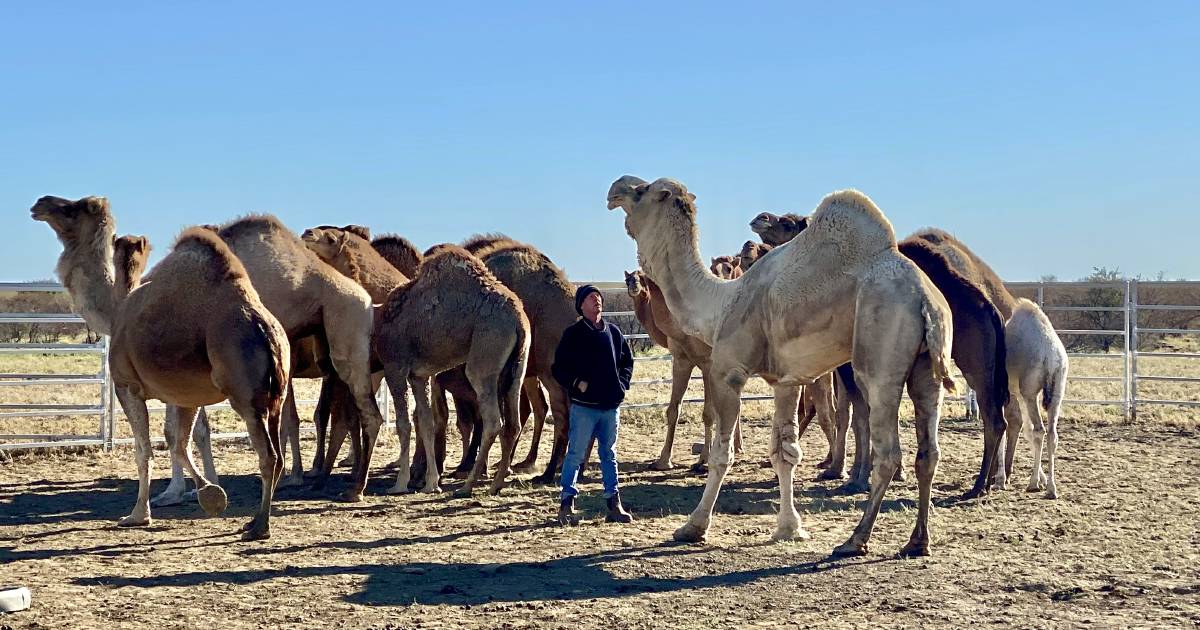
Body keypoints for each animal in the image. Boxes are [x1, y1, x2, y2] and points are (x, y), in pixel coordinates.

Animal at [372, 246, 528, 496]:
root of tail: (519, 320)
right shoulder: (419, 376)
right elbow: (426, 421)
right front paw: (431, 483)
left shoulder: (395, 366)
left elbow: (403, 424)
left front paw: (400, 483)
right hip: (516, 370)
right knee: (513, 424)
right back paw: (495, 484)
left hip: (484, 359)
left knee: (493, 421)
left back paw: (467, 485)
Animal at [609, 176, 955, 554]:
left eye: (642, 191)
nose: (614, 190)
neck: (721, 302)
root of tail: (925, 299)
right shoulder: (786, 381)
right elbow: (784, 453)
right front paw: (790, 528)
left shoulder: (728, 372)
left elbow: (722, 453)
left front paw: (693, 527)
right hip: (927, 370)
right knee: (929, 451)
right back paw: (917, 542)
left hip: (880, 362)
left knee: (888, 452)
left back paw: (855, 539)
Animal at [993, 297, 1070, 499]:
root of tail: (1051, 355)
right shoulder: (1017, 393)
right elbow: (1025, 429)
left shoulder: (1006, 393)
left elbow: (1004, 427)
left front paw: (1000, 480)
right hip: (1057, 391)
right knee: (1051, 433)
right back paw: (1051, 488)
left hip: (1030, 393)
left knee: (1040, 430)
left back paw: (1033, 483)